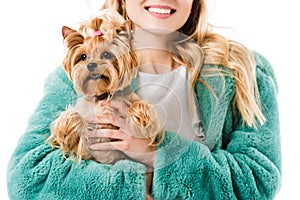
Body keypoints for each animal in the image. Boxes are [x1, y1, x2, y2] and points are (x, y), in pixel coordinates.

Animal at [47, 9, 163, 165]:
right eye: (83, 57)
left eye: (106, 54)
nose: (91, 65)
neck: (102, 94)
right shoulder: (87, 148)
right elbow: (73, 116)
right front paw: (66, 128)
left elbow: (141, 105)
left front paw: (142, 117)